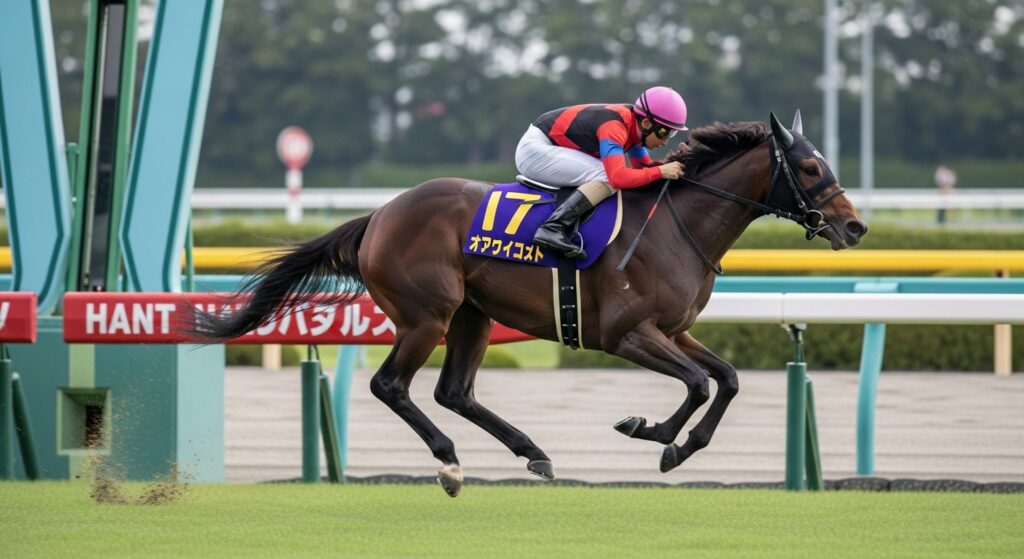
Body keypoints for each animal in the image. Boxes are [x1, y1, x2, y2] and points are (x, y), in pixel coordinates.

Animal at [193, 112, 867, 497]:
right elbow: (699, 383)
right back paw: (449, 465)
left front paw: (675, 443)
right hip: (427, 315)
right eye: (810, 167)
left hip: (473, 314)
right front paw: (654, 433)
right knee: (392, 386)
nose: (855, 226)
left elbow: (725, 378)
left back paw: (535, 454)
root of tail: (379, 215)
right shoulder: (628, 334)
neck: (678, 224)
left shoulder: (675, 330)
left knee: (454, 392)